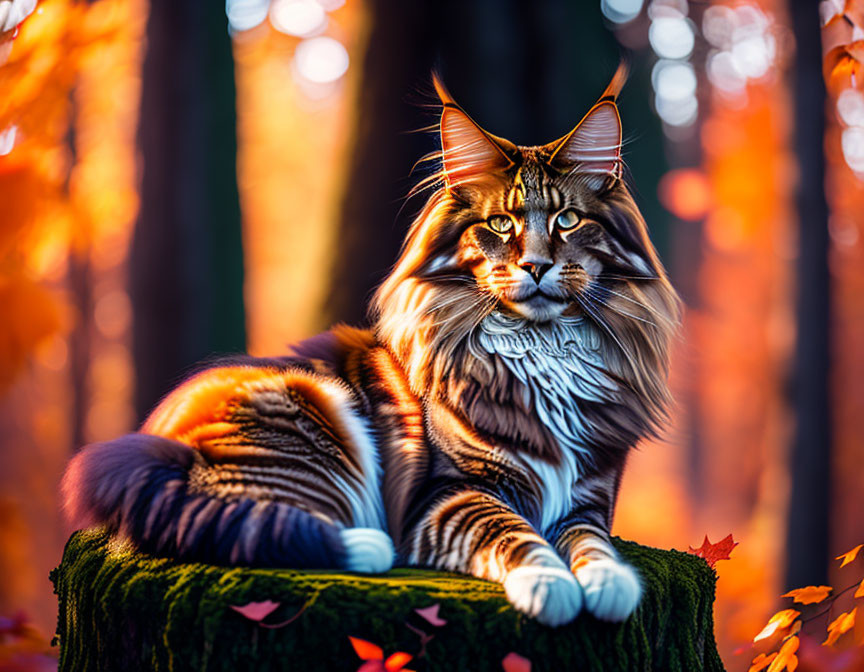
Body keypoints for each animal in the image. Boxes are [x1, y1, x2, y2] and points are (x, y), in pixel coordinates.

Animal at [62, 65, 680, 628]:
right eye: (500, 224)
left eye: (568, 219)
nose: (535, 265)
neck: (544, 350)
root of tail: (151, 439)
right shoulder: (450, 493)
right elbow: (514, 534)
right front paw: (550, 587)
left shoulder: (588, 500)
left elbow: (592, 545)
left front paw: (610, 583)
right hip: (316, 423)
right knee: (244, 529)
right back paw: (364, 547)